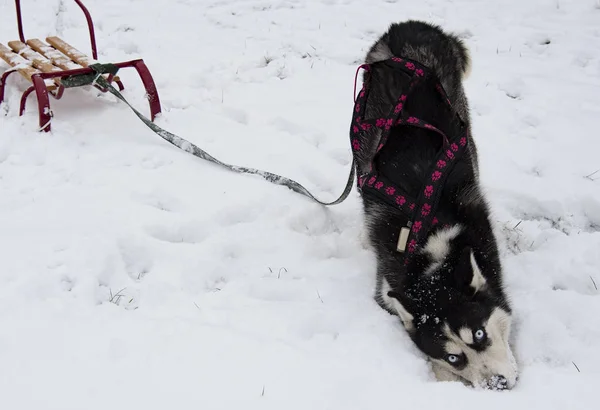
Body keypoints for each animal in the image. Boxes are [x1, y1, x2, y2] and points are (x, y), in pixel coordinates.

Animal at [354, 21, 516, 390]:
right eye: (454, 357)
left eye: (480, 334)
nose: (497, 385)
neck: (433, 240)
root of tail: (410, 26)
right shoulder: (389, 282)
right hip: (363, 140)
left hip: (462, 123)